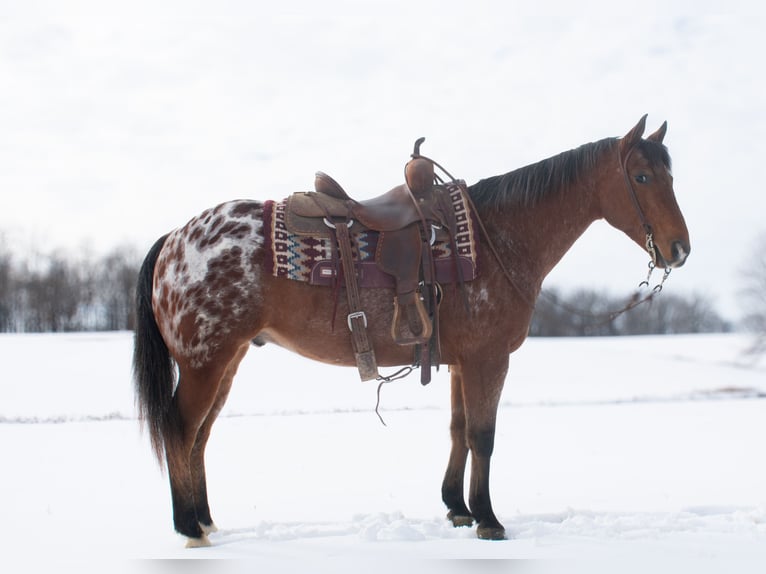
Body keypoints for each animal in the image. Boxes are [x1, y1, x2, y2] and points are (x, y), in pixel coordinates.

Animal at [135, 116, 692, 548]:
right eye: (642, 176)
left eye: (670, 175)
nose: (680, 248)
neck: (497, 237)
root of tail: (174, 237)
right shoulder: (490, 359)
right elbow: (483, 436)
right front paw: (489, 520)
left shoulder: (463, 362)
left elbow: (458, 430)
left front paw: (457, 508)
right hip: (204, 364)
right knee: (182, 430)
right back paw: (189, 527)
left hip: (225, 363)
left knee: (201, 436)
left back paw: (204, 520)